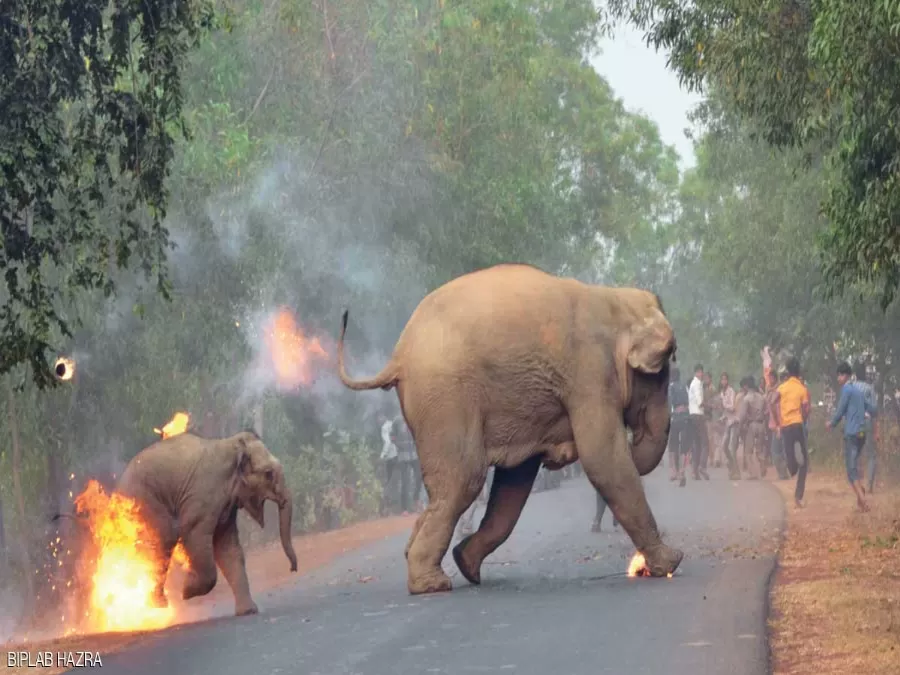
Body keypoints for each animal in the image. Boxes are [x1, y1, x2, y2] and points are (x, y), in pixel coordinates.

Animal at [114, 434, 298, 616]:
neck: (233, 445)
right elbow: (194, 535)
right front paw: (186, 591)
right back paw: (157, 605)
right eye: (268, 474)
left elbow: (228, 548)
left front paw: (248, 611)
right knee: (163, 541)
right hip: (145, 502)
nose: (292, 569)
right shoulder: (202, 495)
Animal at [338, 264, 684, 596]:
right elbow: (603, 458)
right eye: (661, 376)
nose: (636, 442)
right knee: (465, 479)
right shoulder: (591, 373)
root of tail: (398, 356)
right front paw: (671, 561)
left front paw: (465, 562)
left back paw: (443, 568)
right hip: (445, 397)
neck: (616, 301)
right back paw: (431, 585)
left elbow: (515, 480)